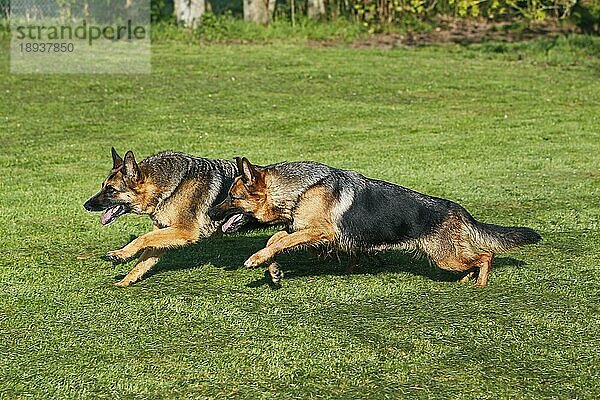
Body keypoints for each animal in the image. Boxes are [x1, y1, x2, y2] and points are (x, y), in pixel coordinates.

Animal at [82, 148, 255, 286]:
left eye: (111, 189)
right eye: (102, 186)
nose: (86, 205)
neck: (167, 187)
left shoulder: (183, 231)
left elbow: (142, 238)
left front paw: (121, 253)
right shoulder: (163, 232)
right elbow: (143, 260)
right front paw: (126, 280)